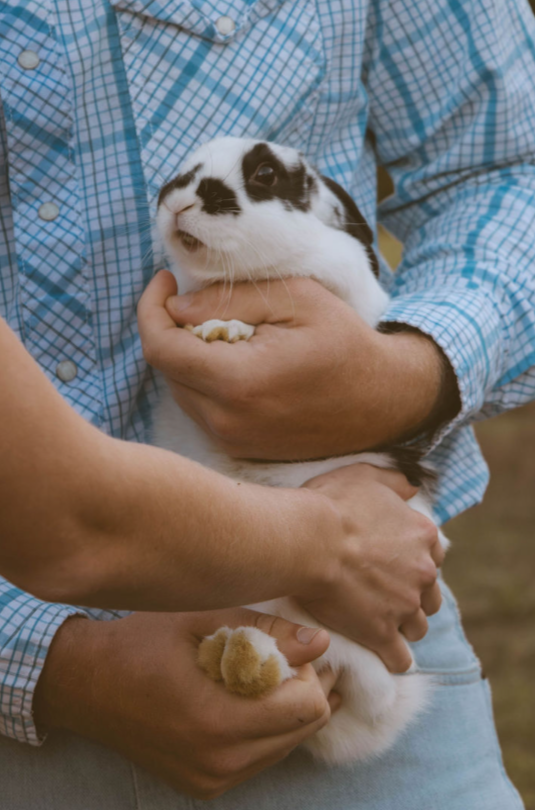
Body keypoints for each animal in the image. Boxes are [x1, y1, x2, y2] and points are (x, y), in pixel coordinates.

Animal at [154, 136, 448, 765]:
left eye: (265, 175)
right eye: (185, 169)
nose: (179, 201)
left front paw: (222, 332)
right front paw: (214, 329)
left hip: (334, 630)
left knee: (340, 677)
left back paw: (242, 655)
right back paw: (229, 652)